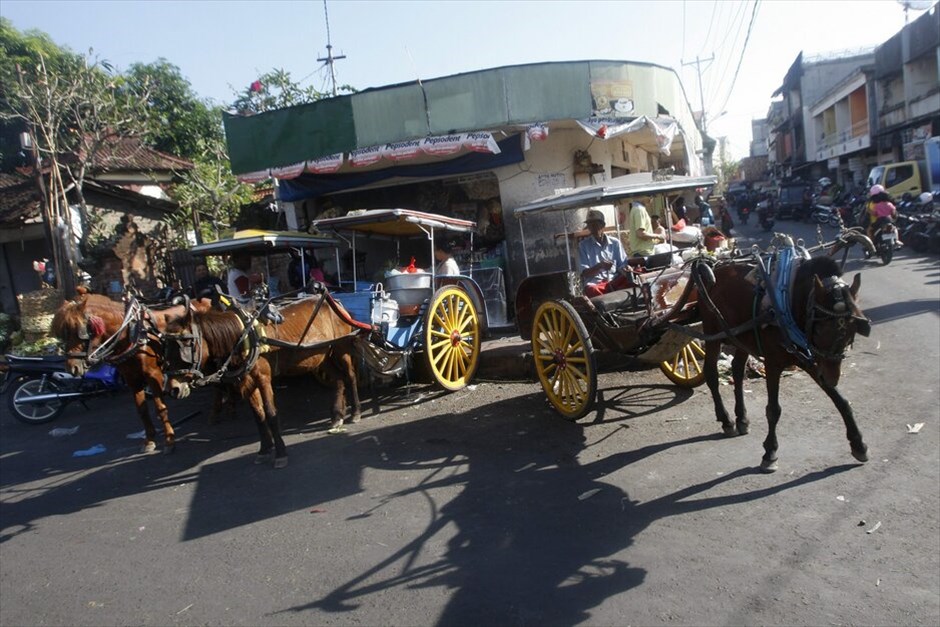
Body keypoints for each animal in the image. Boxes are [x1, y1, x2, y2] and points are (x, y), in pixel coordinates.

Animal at [51, 292, 211, 454]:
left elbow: (161, 409)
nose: (72, 368)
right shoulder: (132, 379)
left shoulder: (153, 375)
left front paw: (169, 441)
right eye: (63, 334)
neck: (131, 335)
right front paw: (149, 440)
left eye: (80, 331)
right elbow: (142, 410)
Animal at [160, 296, 366, 468]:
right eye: (166, 347)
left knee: (350, 377)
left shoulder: (263, 378)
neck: (243, 339)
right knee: (338, 379)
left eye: (185, 345)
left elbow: (271, 413)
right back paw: (337, 416)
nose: (173, 389)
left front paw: (281, 453)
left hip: (341, 348)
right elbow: (258, 416)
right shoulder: (246, 383)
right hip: (321, 356)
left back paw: (355, 412)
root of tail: (337, 304)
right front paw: (264, 449)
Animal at [696, 255, 872, 472]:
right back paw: (727, 420)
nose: (830, 378)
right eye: (820, 330)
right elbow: (773, 410)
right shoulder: (773, 363)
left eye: (851, 332)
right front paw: (770, 452)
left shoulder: (808, 358)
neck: (791, 303)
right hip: (712, 332)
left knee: (737, 369)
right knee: (711, 373)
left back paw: (742, 419)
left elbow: (841, 401)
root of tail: (714, 269)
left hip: (740, 337)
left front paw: (859, 444)